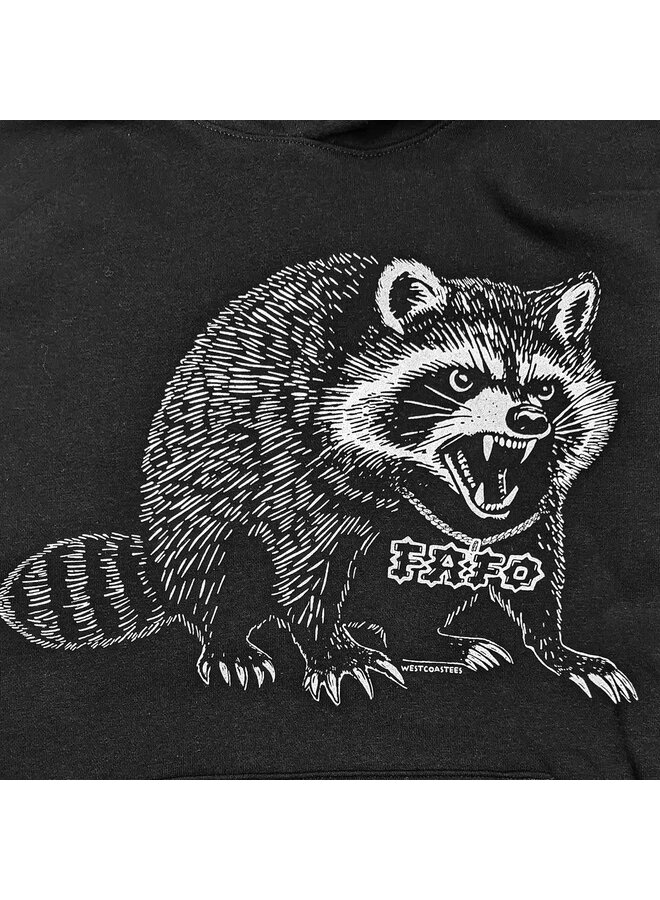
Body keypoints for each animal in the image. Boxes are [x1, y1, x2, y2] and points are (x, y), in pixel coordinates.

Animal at [0, 253, 637, 705]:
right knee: (220, 562)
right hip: (194, 498)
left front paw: (555, 646)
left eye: (547, 390)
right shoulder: (299, 465)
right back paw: (229, 633)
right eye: (462, 381)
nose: (530, 419)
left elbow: (533, 565)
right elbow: (309, 570)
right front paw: (329, 650)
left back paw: (421, 638)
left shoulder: (526, 509)